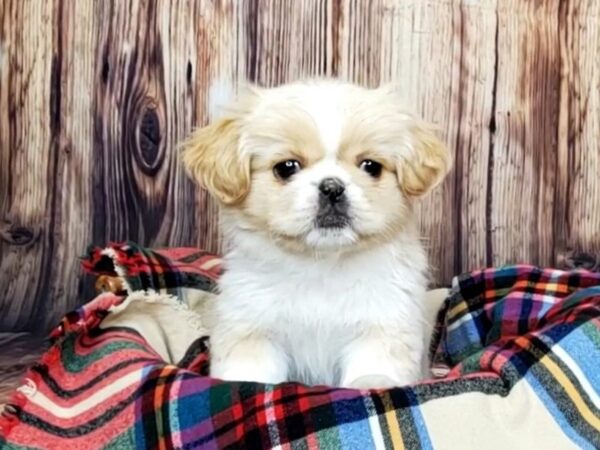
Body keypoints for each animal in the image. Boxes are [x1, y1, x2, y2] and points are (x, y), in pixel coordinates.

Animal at [183, 79, 450, 388]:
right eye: (287, 167)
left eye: (371, 166)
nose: (332, 187)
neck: (321, 265)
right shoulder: (253, 329)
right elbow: (251, 374)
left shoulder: (384, 325)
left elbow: (374, 366)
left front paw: (371, 384)